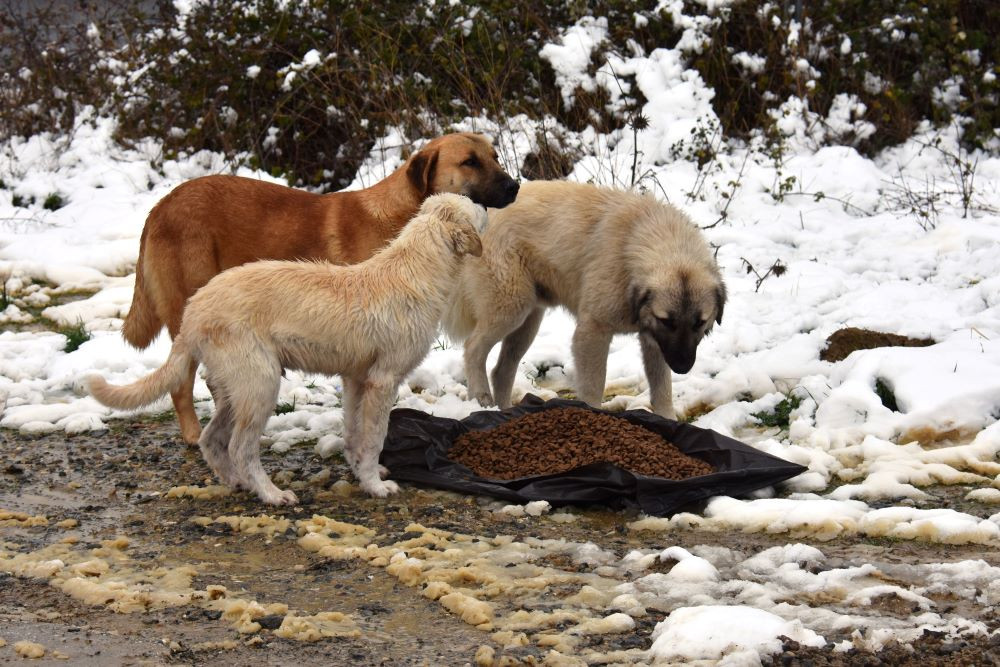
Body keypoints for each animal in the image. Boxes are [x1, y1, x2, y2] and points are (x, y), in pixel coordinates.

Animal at [90, 193, 488, 506]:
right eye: (473, 206)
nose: (489, 203)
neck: (415, 269)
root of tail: (194, 311)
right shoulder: (383, 381)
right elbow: (374, 437)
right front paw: (376, 486)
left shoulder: (356, 380)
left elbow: (355, 433)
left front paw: (363, 472)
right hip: (261, 384)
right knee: (240, 448)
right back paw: (270, 494)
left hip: (237, 388)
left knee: (211, 439)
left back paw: (237, 483)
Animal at [121, 132, 520, 444]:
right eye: (469, 162)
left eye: (495, 156)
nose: (515, 185)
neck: (406, 217)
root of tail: (159, 207)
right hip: (186, 309)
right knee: (180, 383)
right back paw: (194, 435)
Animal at [448, 180, 728, 420]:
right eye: (667, 321)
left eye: (699, 323)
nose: (682, 367)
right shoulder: (593, 333)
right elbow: (594, 385)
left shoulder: (654, 342)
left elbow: (662, 391)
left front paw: (668, 421)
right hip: (510, 309)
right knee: (473, 348)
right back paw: (481, 398)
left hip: (528, 321)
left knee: (501, 371)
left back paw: (504, 413)